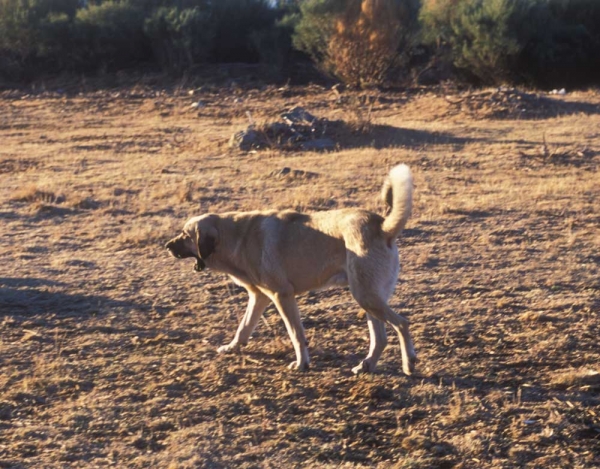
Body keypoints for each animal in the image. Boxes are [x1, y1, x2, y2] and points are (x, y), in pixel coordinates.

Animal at [165, 165, 418, 372]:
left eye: (185, 235)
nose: (167, 246)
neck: (236, 236)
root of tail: (382, 226)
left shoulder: (282, 295)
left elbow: (296, 333)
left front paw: (301, 364)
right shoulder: (259, 297)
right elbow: (244, 327)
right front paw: (232, 347)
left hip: (365, 295)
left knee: (402, 323)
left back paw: (408, 364)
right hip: (368, 298)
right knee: (381, 337)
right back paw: (366, 365)